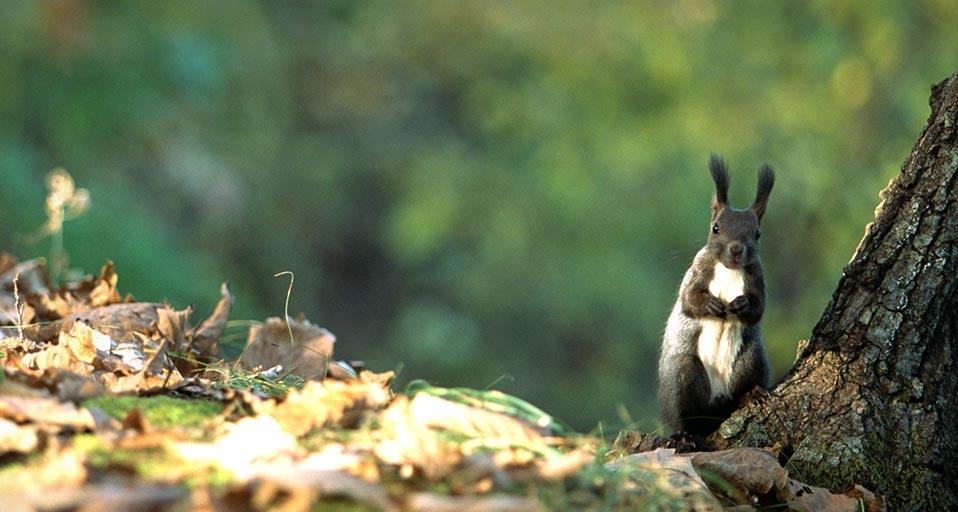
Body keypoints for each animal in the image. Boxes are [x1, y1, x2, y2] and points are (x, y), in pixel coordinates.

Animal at [656, 154, 776, 438]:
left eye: (757, 233)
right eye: (716, 228)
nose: (736, 250)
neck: (729, 270)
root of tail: (716, 401)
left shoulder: (758, 278)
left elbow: (758, 308)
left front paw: (741, 304)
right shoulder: (697, 271)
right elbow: (689, 300)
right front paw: (710, 304)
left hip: (751, 361)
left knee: (740, 391)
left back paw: (751, 395)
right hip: (684, 376)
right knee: (686, 414)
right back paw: (686, 433)